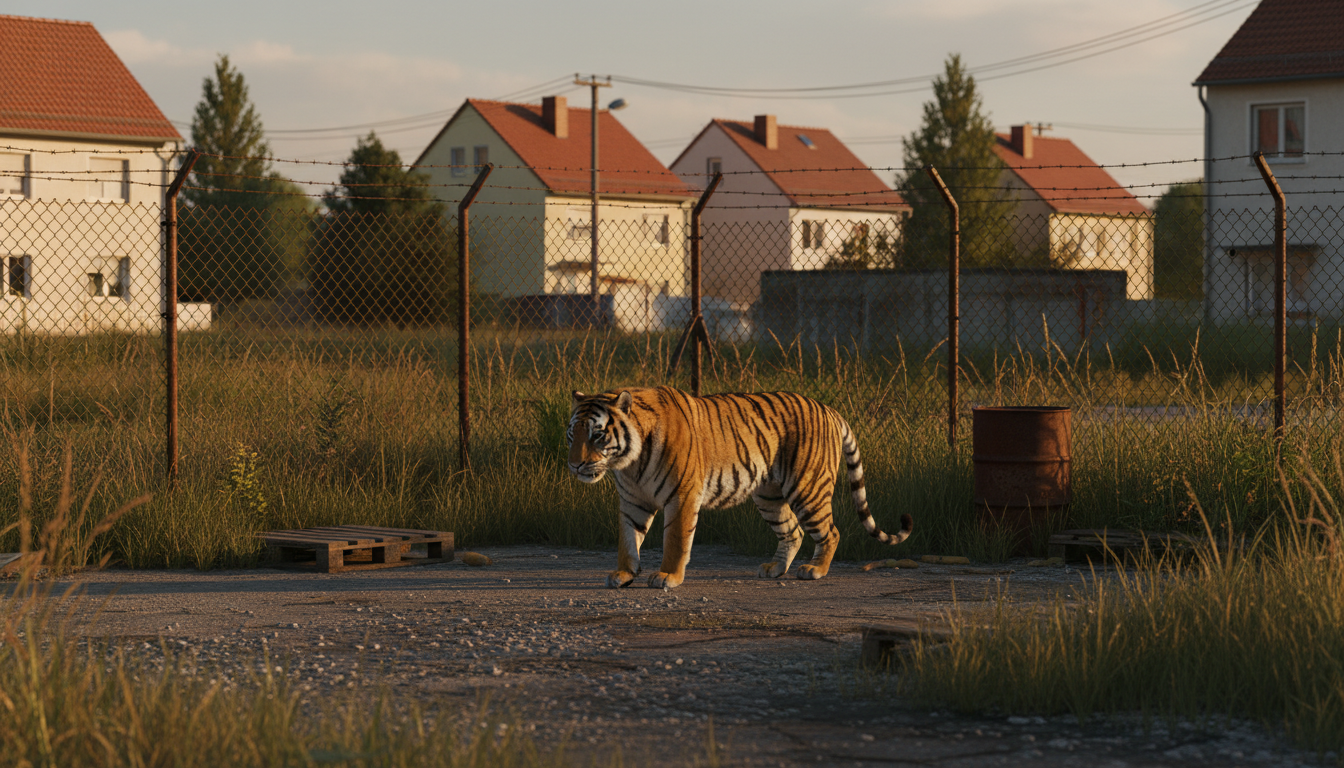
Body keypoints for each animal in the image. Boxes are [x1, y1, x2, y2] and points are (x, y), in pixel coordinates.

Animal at [566, 386, 913, 589]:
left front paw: (667, 577)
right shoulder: (633, 501)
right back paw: (775, 568)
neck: (630, 463)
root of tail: (828, 409)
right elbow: (627, 540)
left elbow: (675, 540)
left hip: (808, 488)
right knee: (793, 531)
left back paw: (815, 569)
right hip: (769, 495)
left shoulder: (681, 496)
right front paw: (624, 574)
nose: (575, 465)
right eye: (573, 435)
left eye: (597, 435)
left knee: (831, 531)